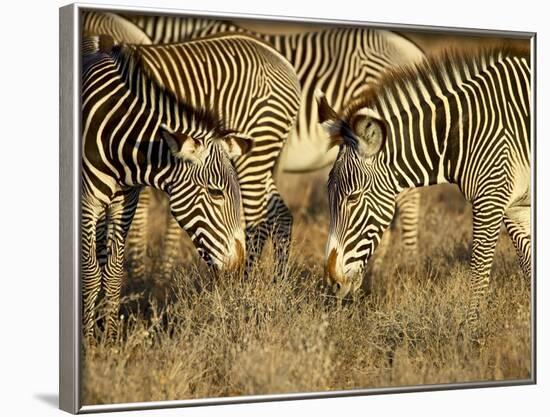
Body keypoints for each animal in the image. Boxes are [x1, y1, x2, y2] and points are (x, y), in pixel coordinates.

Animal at [81, 36, 254, 338]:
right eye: (215, 193)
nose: (238, 268)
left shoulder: (125, 203)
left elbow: (113, 270)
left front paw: (110, 338)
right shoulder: (87, 202)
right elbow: (91, 272)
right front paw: (89, 339)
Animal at [322, 45, 532, 332]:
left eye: (353, 198)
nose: (332, 283)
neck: (463, 132)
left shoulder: (491, 199)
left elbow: (479, 270)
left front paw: (471, 335)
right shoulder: (515, 207)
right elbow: (529, 265)